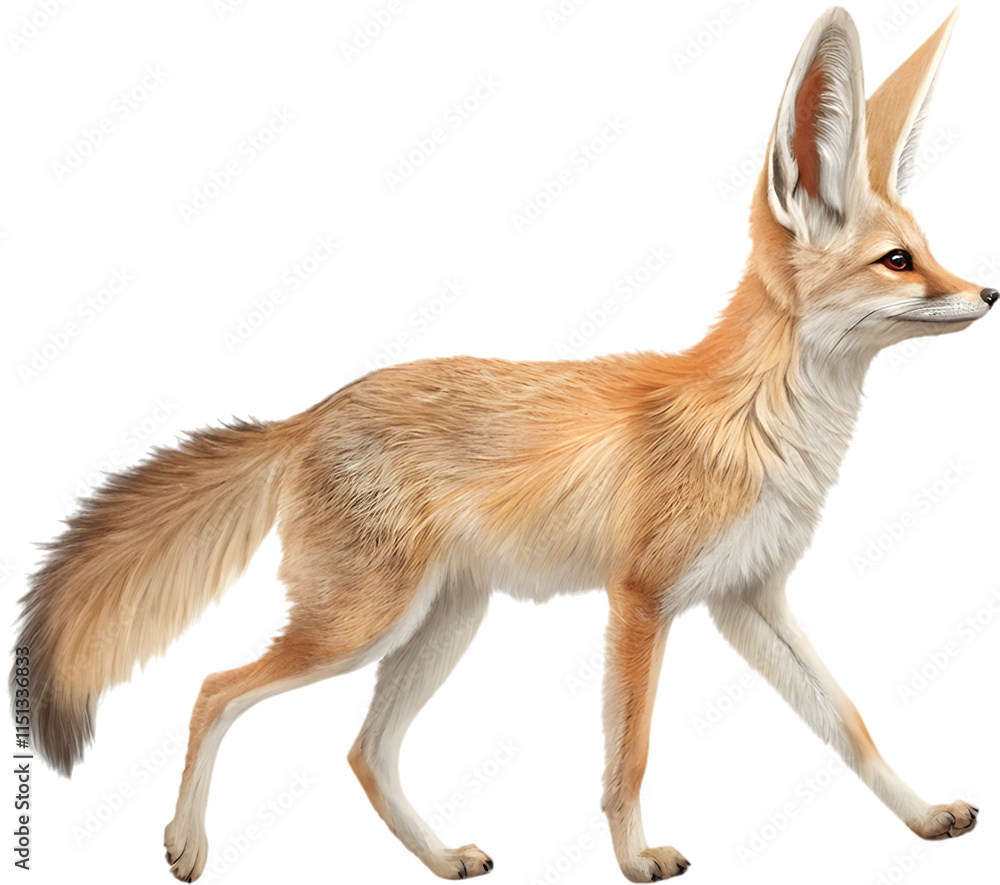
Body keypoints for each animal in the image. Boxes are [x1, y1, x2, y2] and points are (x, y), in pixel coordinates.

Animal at [10, 6, 996, 882]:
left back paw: (443, 857)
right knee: (215, 688)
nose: (987, 292)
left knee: (364, 750)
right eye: (899, 261)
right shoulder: (643, 600)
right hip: (360, 626)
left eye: (930, 250)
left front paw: (921, 815)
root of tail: (311, 412)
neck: (753, 424)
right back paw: (186, 845)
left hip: (442, 623)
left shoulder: (748, 597)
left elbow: (849, 723)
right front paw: (635, 858)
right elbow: (629, 755)